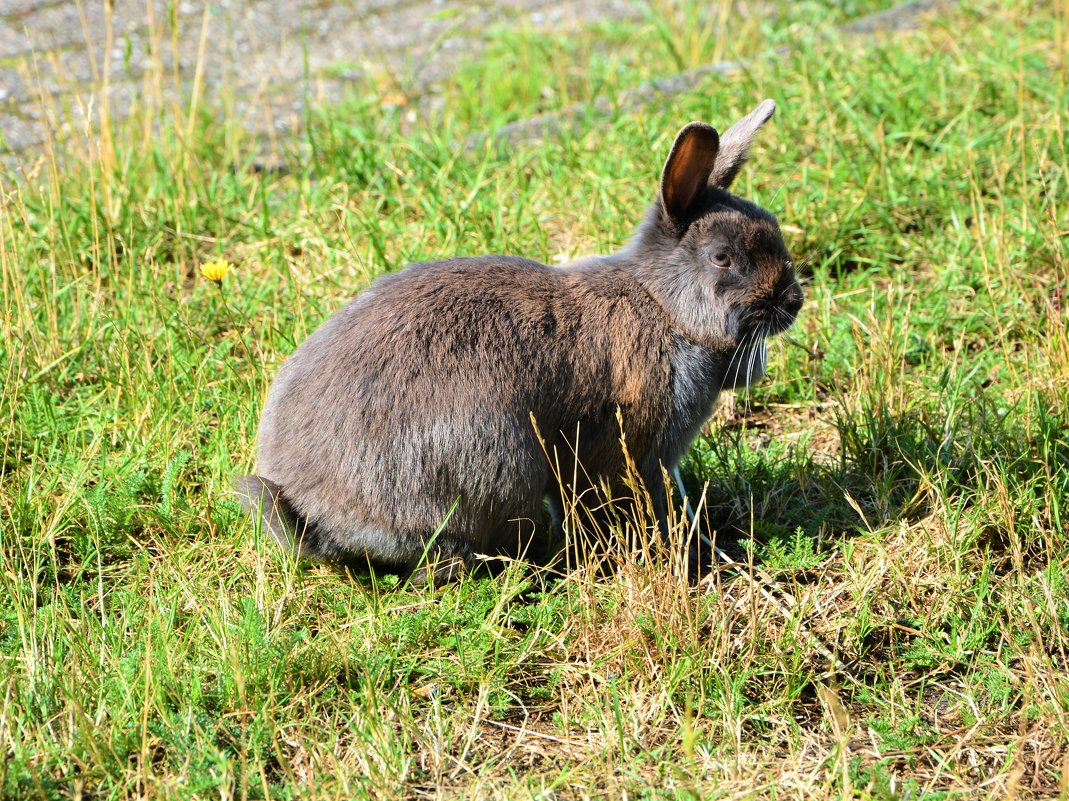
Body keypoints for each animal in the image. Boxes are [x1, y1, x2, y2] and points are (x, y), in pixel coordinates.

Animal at [236, 99, 803, 586]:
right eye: (722, 258)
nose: (794, 300)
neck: (663, 305)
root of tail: (315, 512)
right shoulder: (629, 451)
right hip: (495, 464)